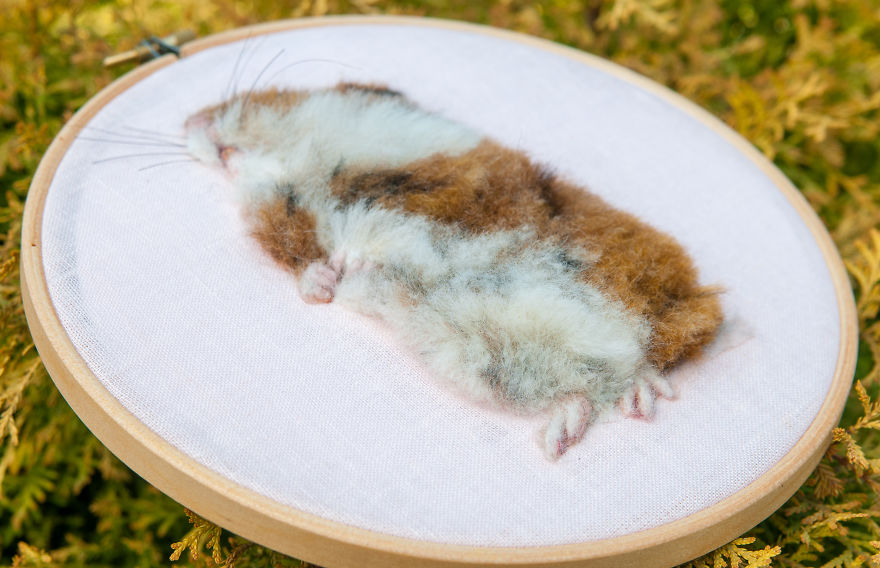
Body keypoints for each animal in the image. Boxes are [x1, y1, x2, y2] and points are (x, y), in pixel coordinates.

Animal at [183, 82, 723, 460]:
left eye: (269, 96)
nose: (191, 122)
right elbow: (314, 267)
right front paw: (333, 278)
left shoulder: (444, 185)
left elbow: (390, 223)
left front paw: (355, 259)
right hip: (492, 361)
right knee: (586, 392)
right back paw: (572, 435)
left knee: (637, 356)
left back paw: (639, 400)